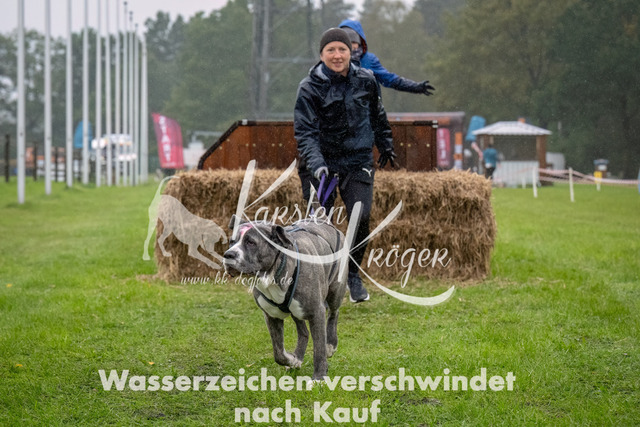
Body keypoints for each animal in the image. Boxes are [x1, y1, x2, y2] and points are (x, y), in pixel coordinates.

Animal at [223, 216, 346, 381]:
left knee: (334, 313)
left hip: (335, 290)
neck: (274, 275)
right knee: (303, 332)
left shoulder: (316, 312)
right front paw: (292, 360)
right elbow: (278, 353)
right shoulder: (271, 316)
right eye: (232, 242)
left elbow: (318, 348)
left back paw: (330, 346)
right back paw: (298, 358)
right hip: (297, 311)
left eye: (251, 242)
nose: (228, 255)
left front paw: (319, 378)